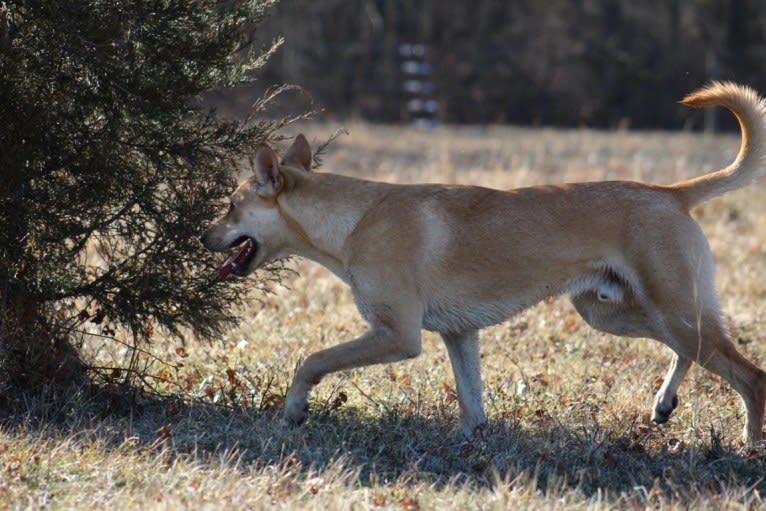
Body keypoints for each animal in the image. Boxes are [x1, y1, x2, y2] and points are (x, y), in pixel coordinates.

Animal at [202, 82, 766, 446]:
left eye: (230, 204)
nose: (203, 237)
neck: (356, 219)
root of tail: (671, 193)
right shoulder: (459, 335)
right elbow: (471, 402)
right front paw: (470, 442)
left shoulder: (396, 335)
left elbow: (311, 361)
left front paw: (293, 411)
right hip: (615, 313)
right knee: (688, 352)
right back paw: (663, 403)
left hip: (669, 310)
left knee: (748, 375)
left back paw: (748, 444)